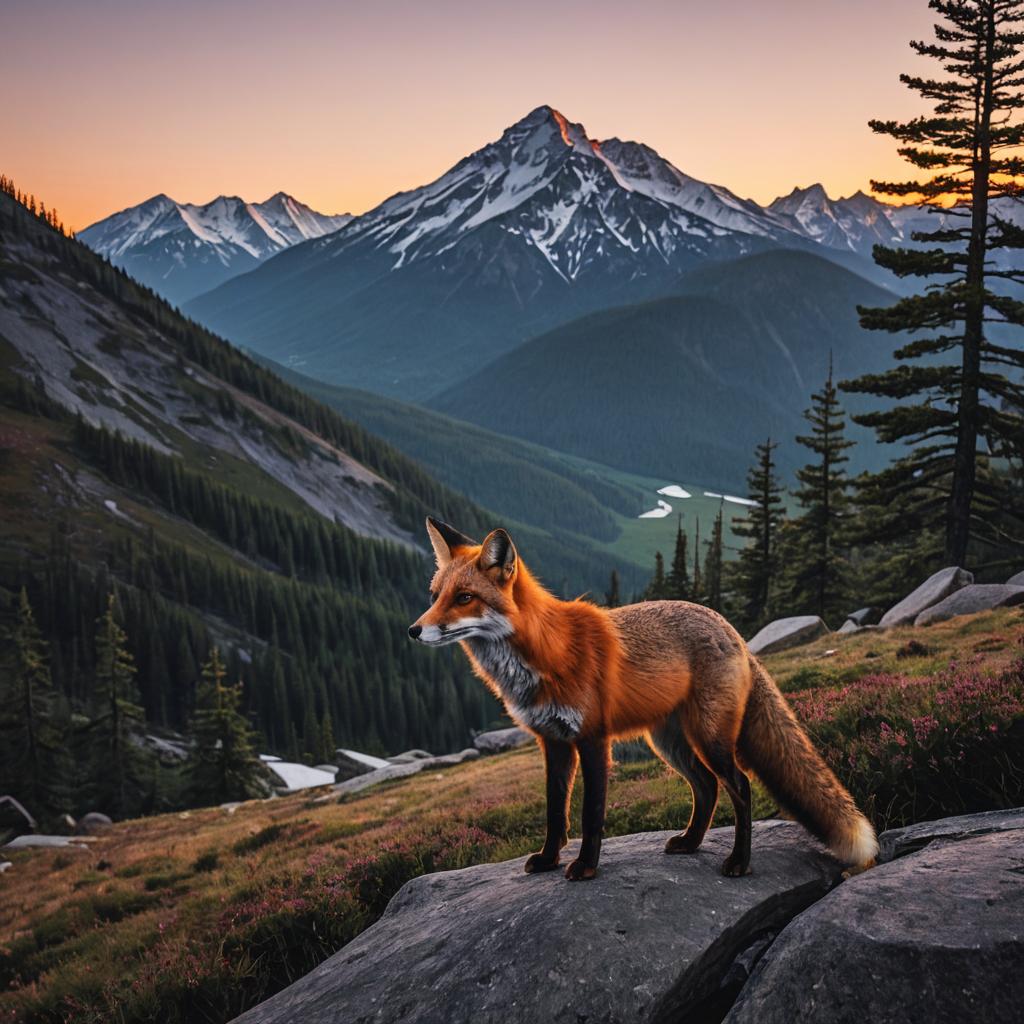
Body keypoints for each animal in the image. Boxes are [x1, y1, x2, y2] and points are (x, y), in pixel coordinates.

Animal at [409, 520, 880, 880]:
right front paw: (548, 859)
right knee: (707, 787)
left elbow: (590, 815)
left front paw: (585, 867)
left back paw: (739, 863)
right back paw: (690, 843)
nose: (413, 631)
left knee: (740, 786)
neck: (544, 652)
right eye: (434, 596)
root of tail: (734, 632)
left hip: (709, 738)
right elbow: (555, 812)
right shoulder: (554, 742)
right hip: (669, 742)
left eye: (465, 598)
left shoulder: (593, 739)